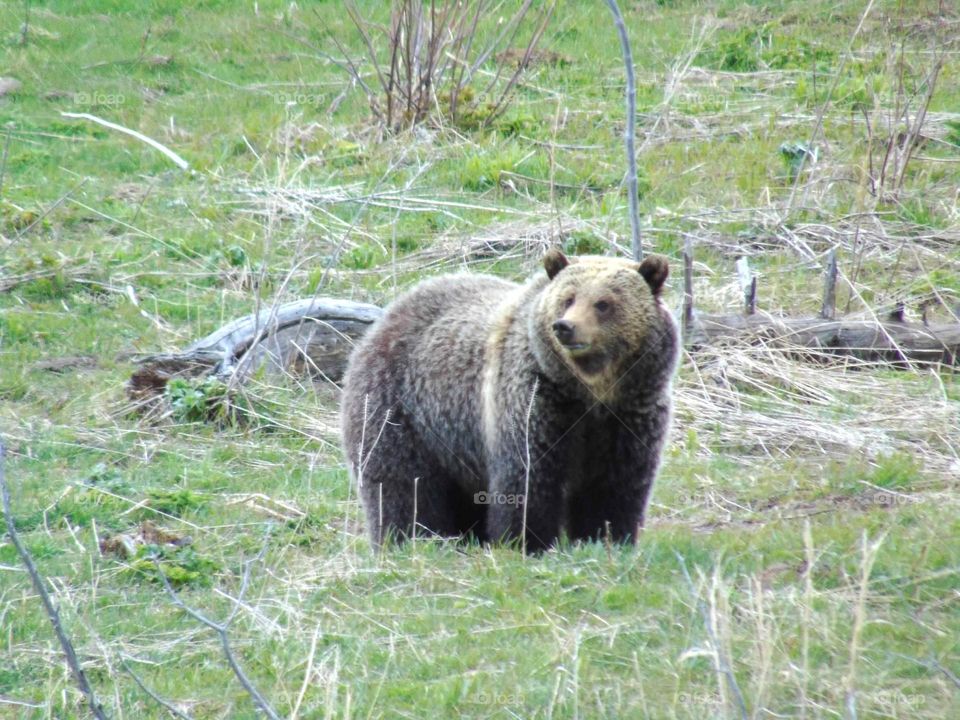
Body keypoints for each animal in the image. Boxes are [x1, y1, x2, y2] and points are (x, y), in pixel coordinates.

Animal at [339, 248, 679, 552]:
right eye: (568, 298)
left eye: (604, 303)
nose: (565, 327)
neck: (591, 390)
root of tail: (387, 315)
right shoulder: (537, 402)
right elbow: (528, 475)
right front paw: (527, 541)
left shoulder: (629, 414)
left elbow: (615, 486)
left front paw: (607, 537)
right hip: (403, 412)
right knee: (402, 484)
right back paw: (409, 538)